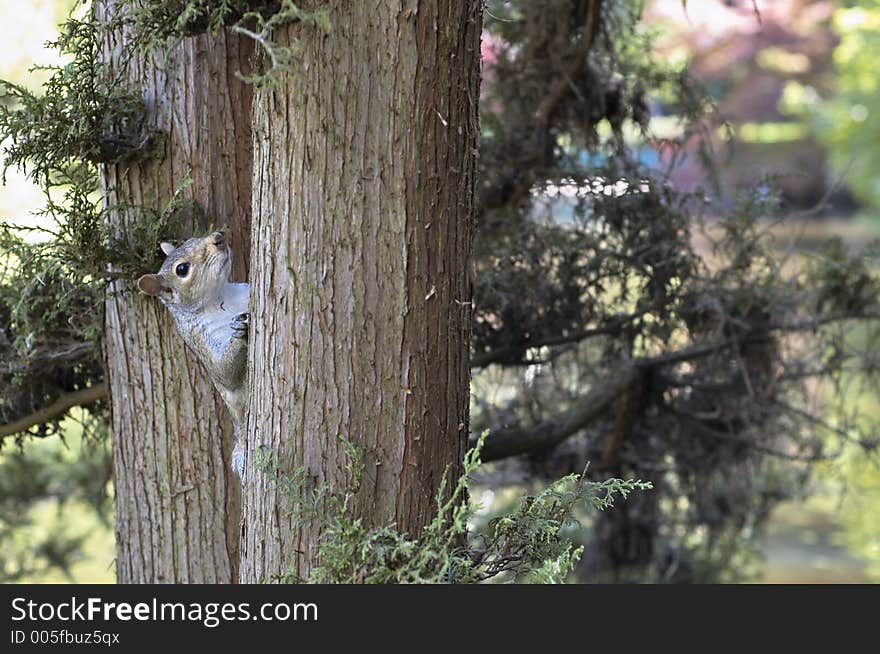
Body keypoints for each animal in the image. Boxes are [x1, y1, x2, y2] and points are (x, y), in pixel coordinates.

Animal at [136, 233, 251, 480]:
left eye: (192, 238)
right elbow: (224, 372)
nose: (218, 237)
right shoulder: (200, 338)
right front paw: (240, 333)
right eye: (182, 269)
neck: (220, 298)